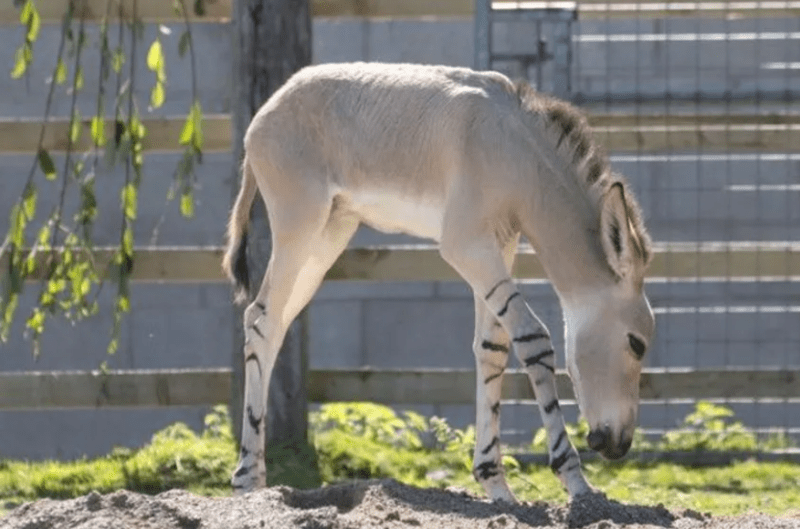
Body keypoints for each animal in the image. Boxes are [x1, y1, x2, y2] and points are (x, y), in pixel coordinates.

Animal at [222, 62, 652, 500]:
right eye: (637, 344)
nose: (618, 445)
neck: (512, 147)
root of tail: (267, 110)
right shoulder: (466, 246)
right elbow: (532, 338)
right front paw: (577, 483)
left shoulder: (499, 245)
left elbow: (492, 347)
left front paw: (496, 485)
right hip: (299, 229)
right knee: (262, 323)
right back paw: (247, 481)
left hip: (327, 237)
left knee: (268, 322)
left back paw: (254, 481)